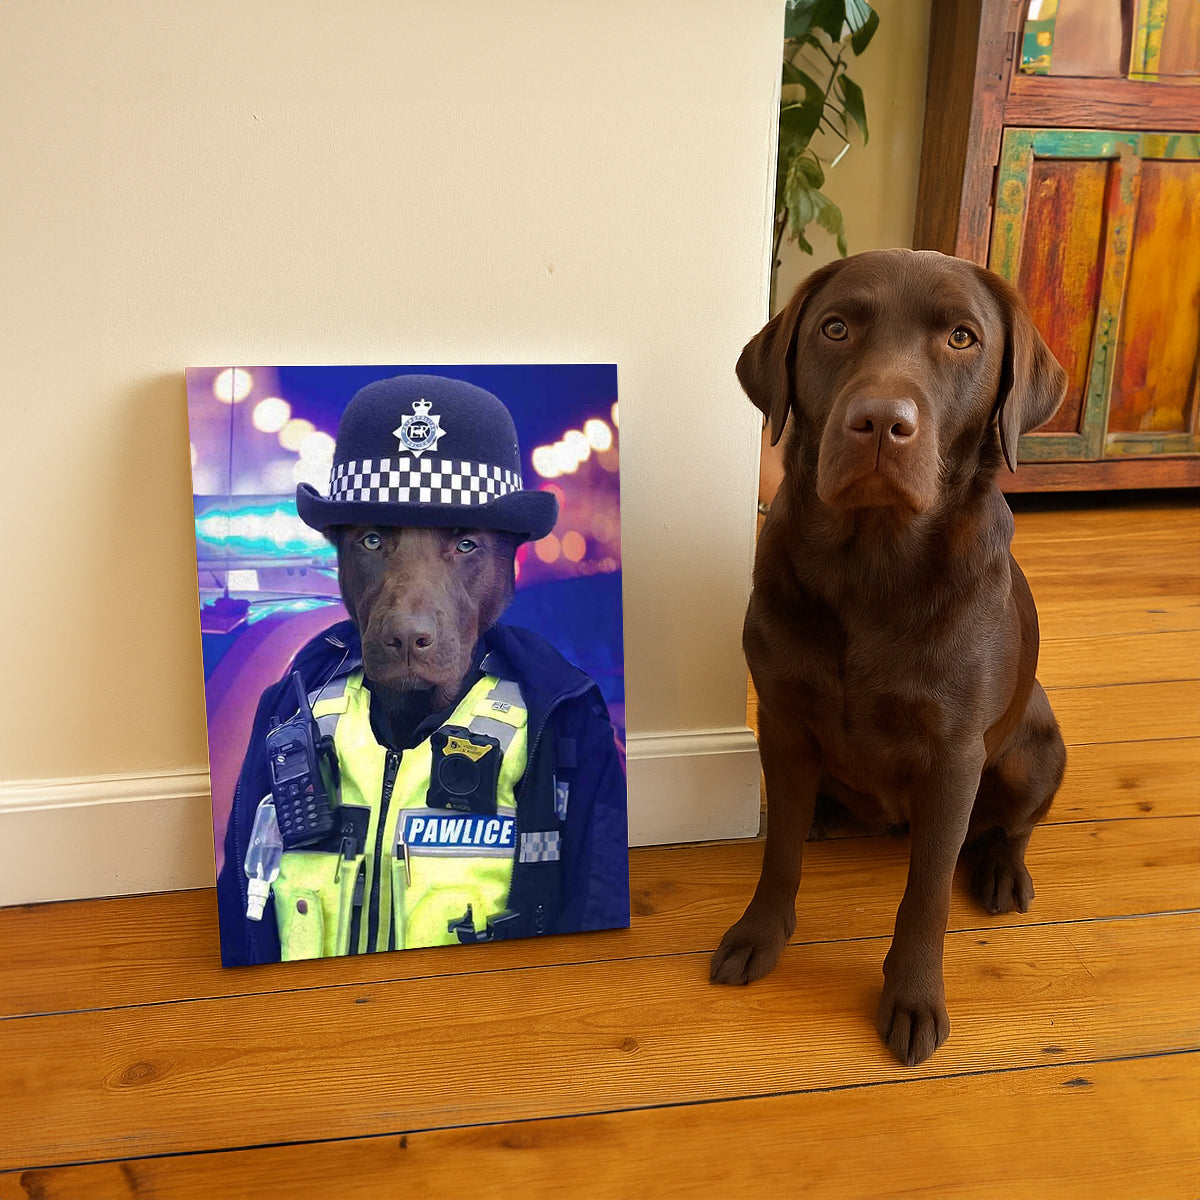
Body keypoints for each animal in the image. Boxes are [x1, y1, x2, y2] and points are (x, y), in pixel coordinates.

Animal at [710, 248, 1068, 1066]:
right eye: (836, 328)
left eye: (963, 338)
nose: (880, 422)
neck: (871, 568)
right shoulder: (782, 720)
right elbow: (779, 853)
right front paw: (760, 933)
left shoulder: (955, 756)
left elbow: (927, 893)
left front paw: (913, 997)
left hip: (1036, 750)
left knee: (1013, 825)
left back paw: (1002, 871)